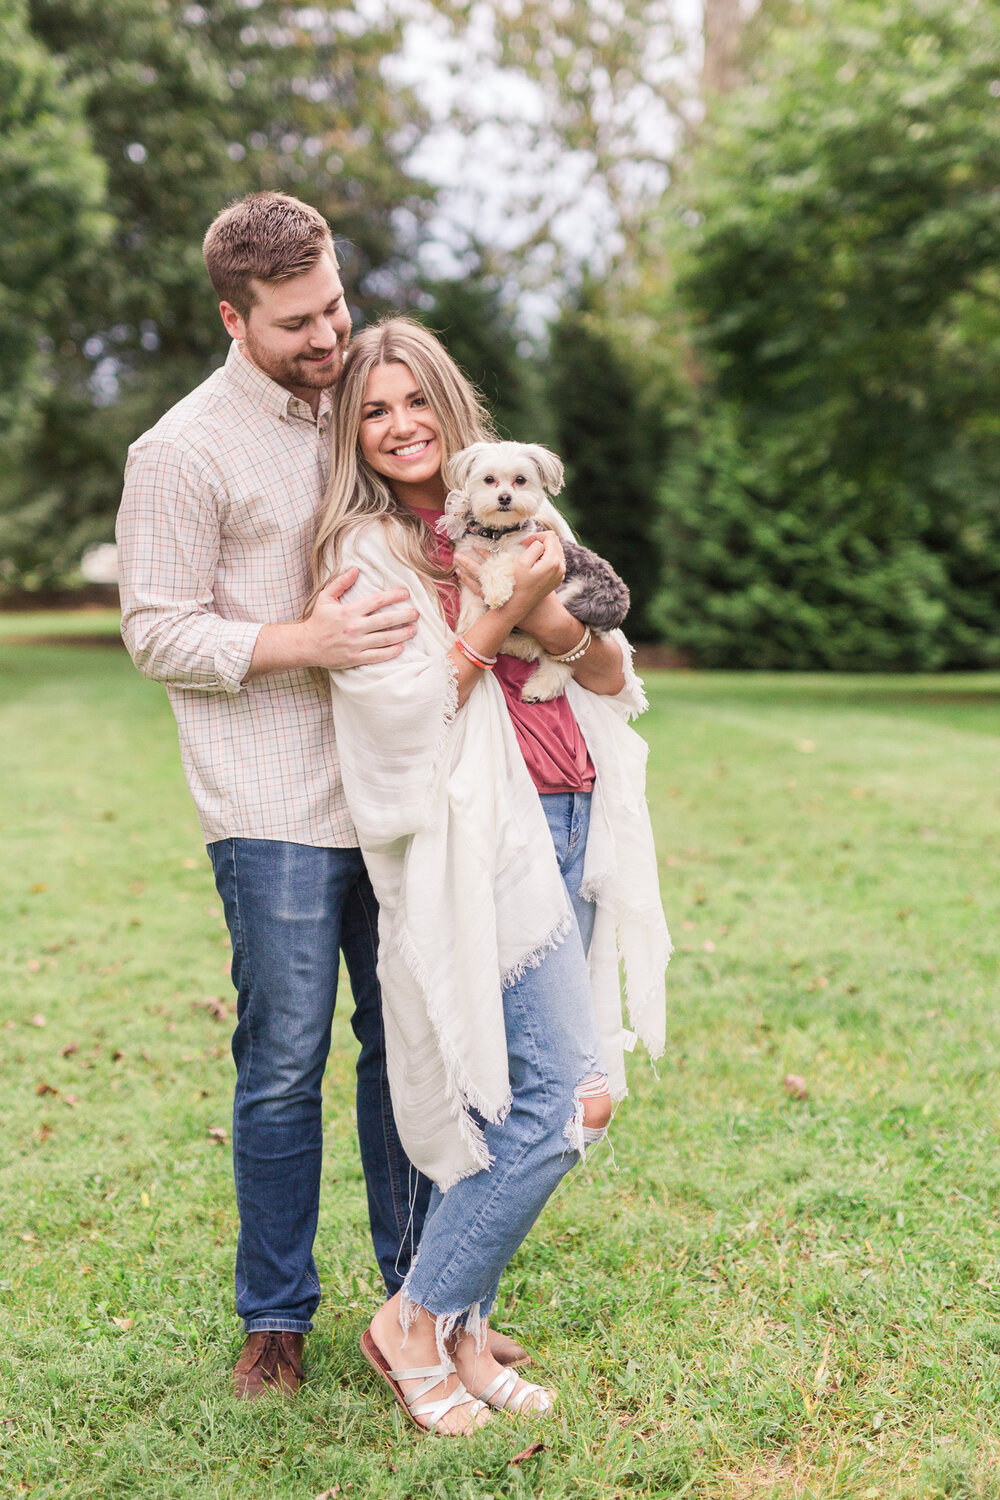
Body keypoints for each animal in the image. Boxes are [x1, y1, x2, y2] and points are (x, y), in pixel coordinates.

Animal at [434, 441, 626, 705]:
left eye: (520, 480)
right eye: (489, 479)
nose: (505, 497)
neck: (496, 534)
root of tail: (619, 607)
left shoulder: (529, 554)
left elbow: (499, 562)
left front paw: (497, 592)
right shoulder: (466, 565)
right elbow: (471, 605)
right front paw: (469, 627)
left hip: (574, 596)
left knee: (550, 653)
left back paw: (524, 665)